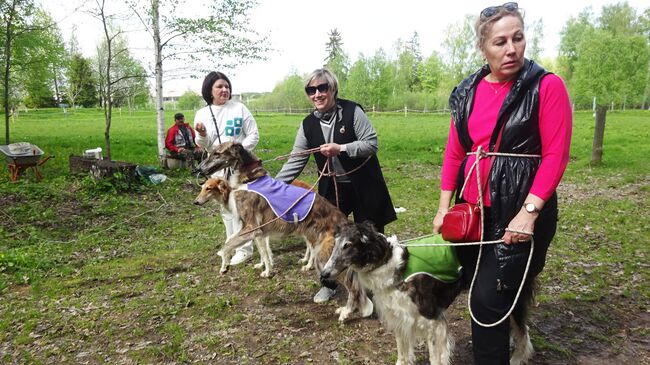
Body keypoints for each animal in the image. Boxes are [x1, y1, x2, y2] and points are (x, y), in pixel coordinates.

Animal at [195, 141, 372, 320]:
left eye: (217, 153)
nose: (198, 169)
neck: (250, 178)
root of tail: (344, 222)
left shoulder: (251, 228)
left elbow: (227, 244)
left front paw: (225, 265)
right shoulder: (259, 232)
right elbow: (260, 251)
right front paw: (262, 267)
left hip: (328, 259)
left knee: (354, 288)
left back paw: (346, 312)